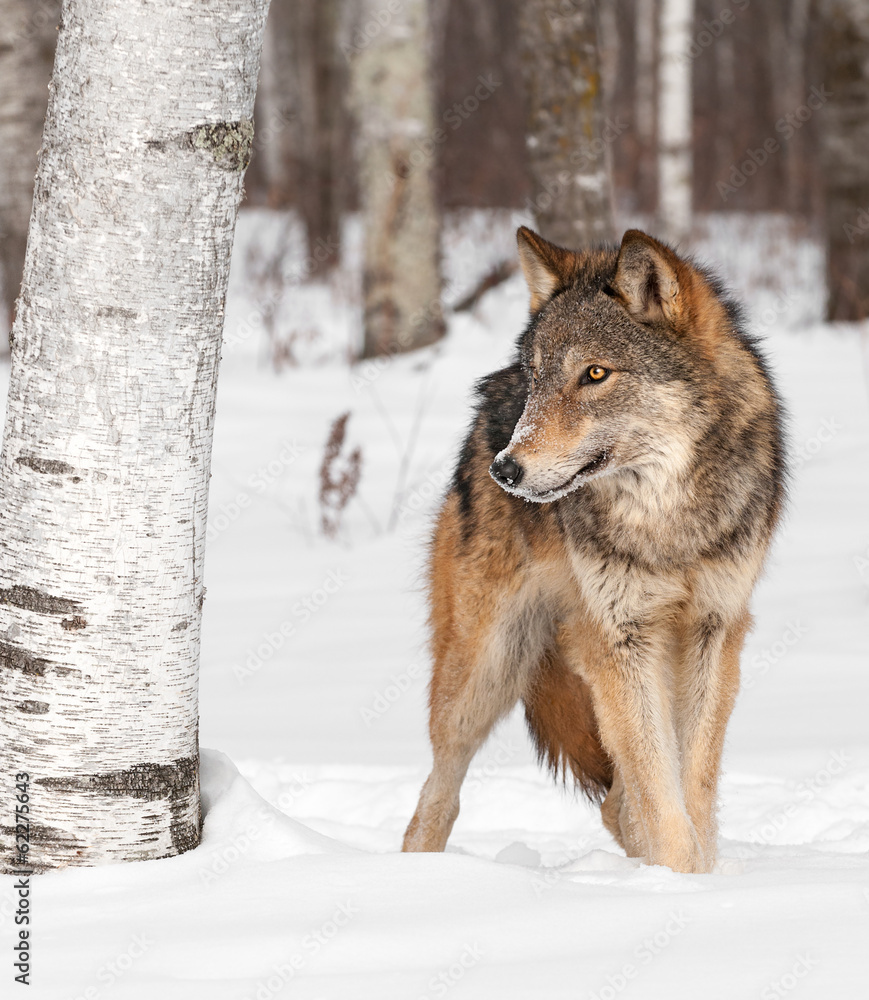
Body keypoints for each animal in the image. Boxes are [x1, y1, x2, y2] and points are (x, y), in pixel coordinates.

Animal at [402, 227, 785, 873]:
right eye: (538, 377)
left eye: (596, 373)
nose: (506, 469)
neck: (666, 523)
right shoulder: (621, 641)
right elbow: (662, 801)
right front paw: (678, 880)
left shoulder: (714, 632)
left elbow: (693, 789)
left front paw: (698, 878)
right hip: (484, 673)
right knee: (437, 795)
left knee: (615, 803)